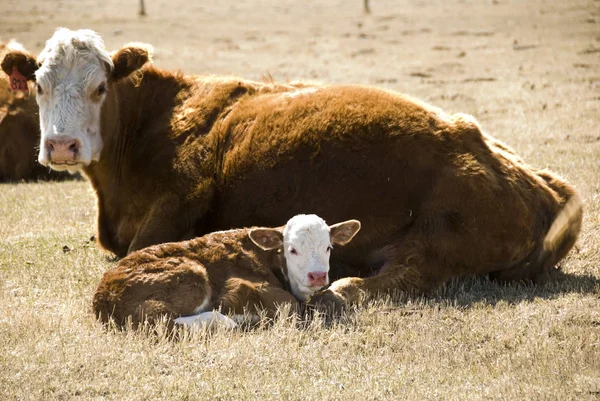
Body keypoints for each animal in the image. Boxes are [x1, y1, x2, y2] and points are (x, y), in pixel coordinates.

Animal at [0, 28, 580, 310]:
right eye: (39, 85)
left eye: (100, 87)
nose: (62, 145)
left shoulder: (178, 202)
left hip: (441, 234)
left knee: (400, 276)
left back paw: (343, 288)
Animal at [92, 214, 360, 326]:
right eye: (292, 250)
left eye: (328, 247)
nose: (317, 276)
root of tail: (102, 294)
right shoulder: (237, 287)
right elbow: (288, 305)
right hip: (191, 274)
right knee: (159, 322)